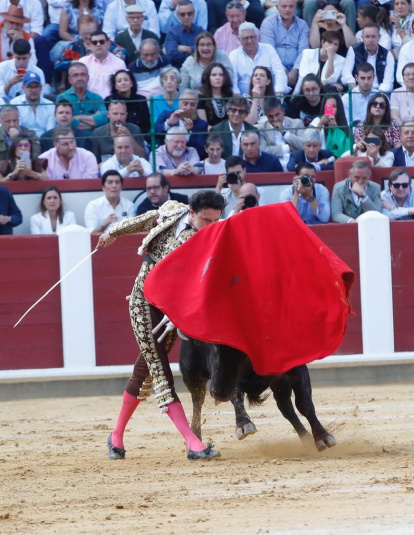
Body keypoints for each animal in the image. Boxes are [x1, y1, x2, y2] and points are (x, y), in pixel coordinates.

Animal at [180, 340, 338, 452]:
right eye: (213, 346)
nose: (217, 391)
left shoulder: (295, 367)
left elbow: (304, 404)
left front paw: (323, 438)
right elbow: (236, 397)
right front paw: (244, 425)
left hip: (279, 383)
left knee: (286, 407)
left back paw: (306, 439)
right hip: (192, 372)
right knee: (197, 402)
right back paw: (196, 440)